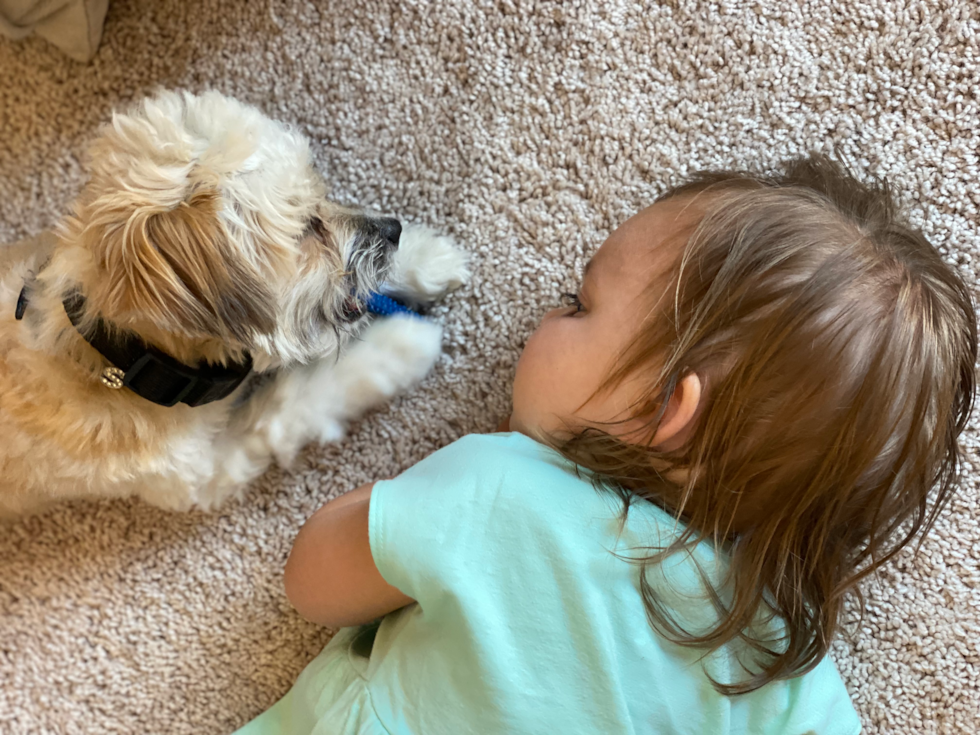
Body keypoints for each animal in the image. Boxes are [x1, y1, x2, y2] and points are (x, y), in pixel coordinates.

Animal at [0, 90, 468, 516]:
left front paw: (427, 258)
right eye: (308, 228)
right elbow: (290, 404)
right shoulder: (203, 471)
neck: (118, 354)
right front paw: (399, 347)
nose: (394, 229)